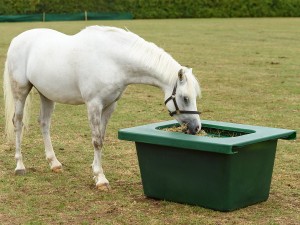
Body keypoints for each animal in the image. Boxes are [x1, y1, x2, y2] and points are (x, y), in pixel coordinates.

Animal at [2, 26, 202, 192]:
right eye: (185, 98)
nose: (197, 127)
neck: (112, 60)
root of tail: (17, 39)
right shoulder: (94, 105)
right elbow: (97, 141)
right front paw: (100, 179)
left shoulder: (109, 105)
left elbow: (102, 138)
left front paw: (95, 170)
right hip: (21, 91)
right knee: (17, 122)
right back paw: (20, 166)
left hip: (47, 94)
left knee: (44, 123)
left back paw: (54, 163)